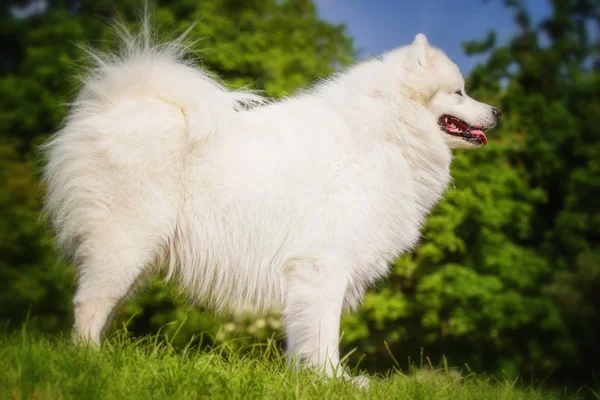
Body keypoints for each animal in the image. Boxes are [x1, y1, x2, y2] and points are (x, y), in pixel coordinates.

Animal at [43, 24, 502, 382]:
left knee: (101, 305)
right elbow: (325, 334)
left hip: (136, 254)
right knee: (87, 305)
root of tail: (114, 105)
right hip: (125, 241)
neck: (387, 130)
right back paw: (88, 363)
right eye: (459, 93)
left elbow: (306, 335)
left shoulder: (309, 273)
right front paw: (334, 381)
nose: (497, 111)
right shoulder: (324, 265)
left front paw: (310, 378)